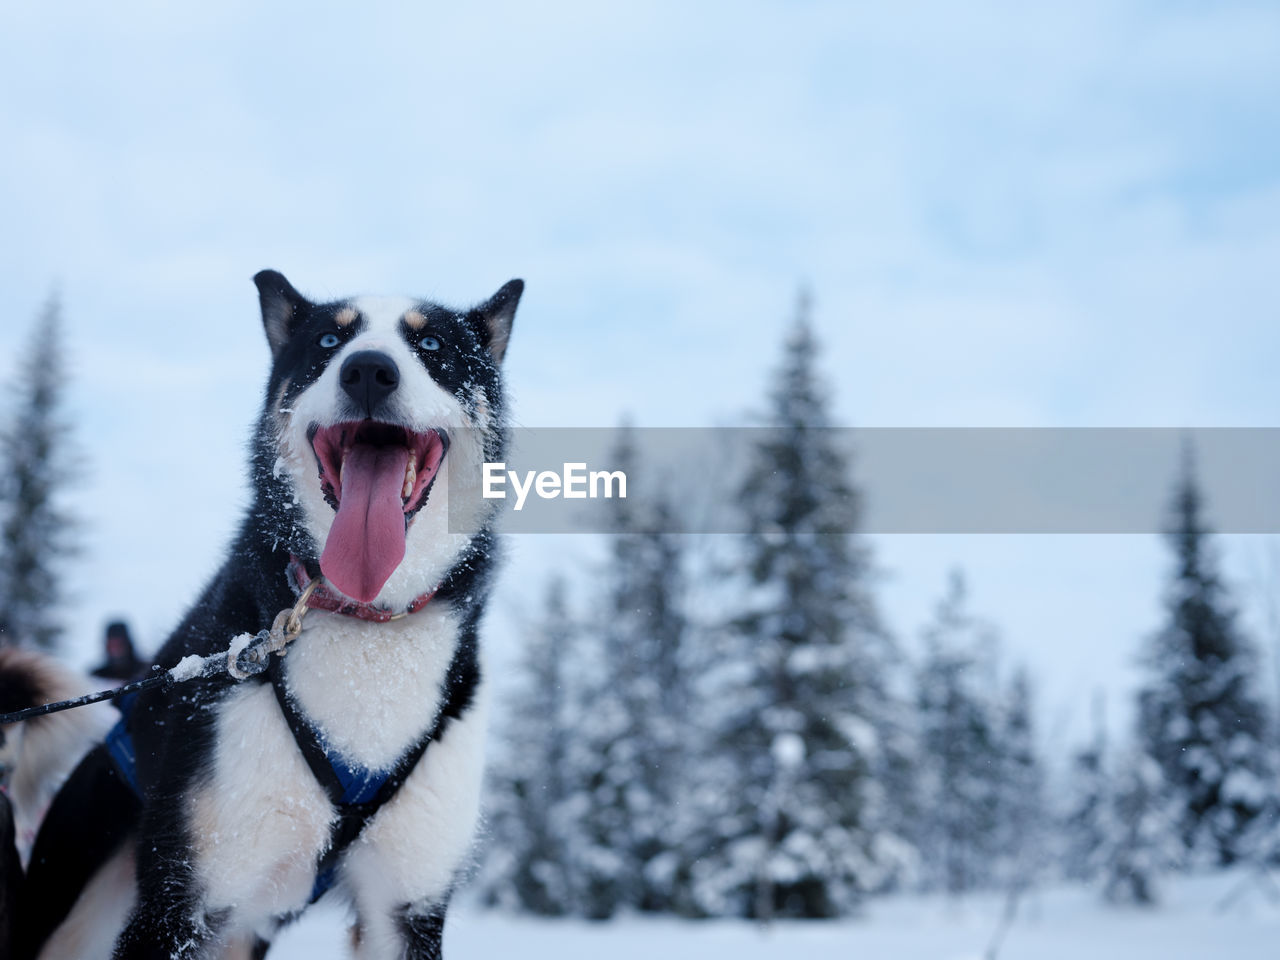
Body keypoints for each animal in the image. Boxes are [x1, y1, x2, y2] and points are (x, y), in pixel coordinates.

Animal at [10, 272, 519, 960]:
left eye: (432, 342)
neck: (364, 621)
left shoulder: (407, 908)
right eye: (329, 339)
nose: (368, 369)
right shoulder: (179, 904)